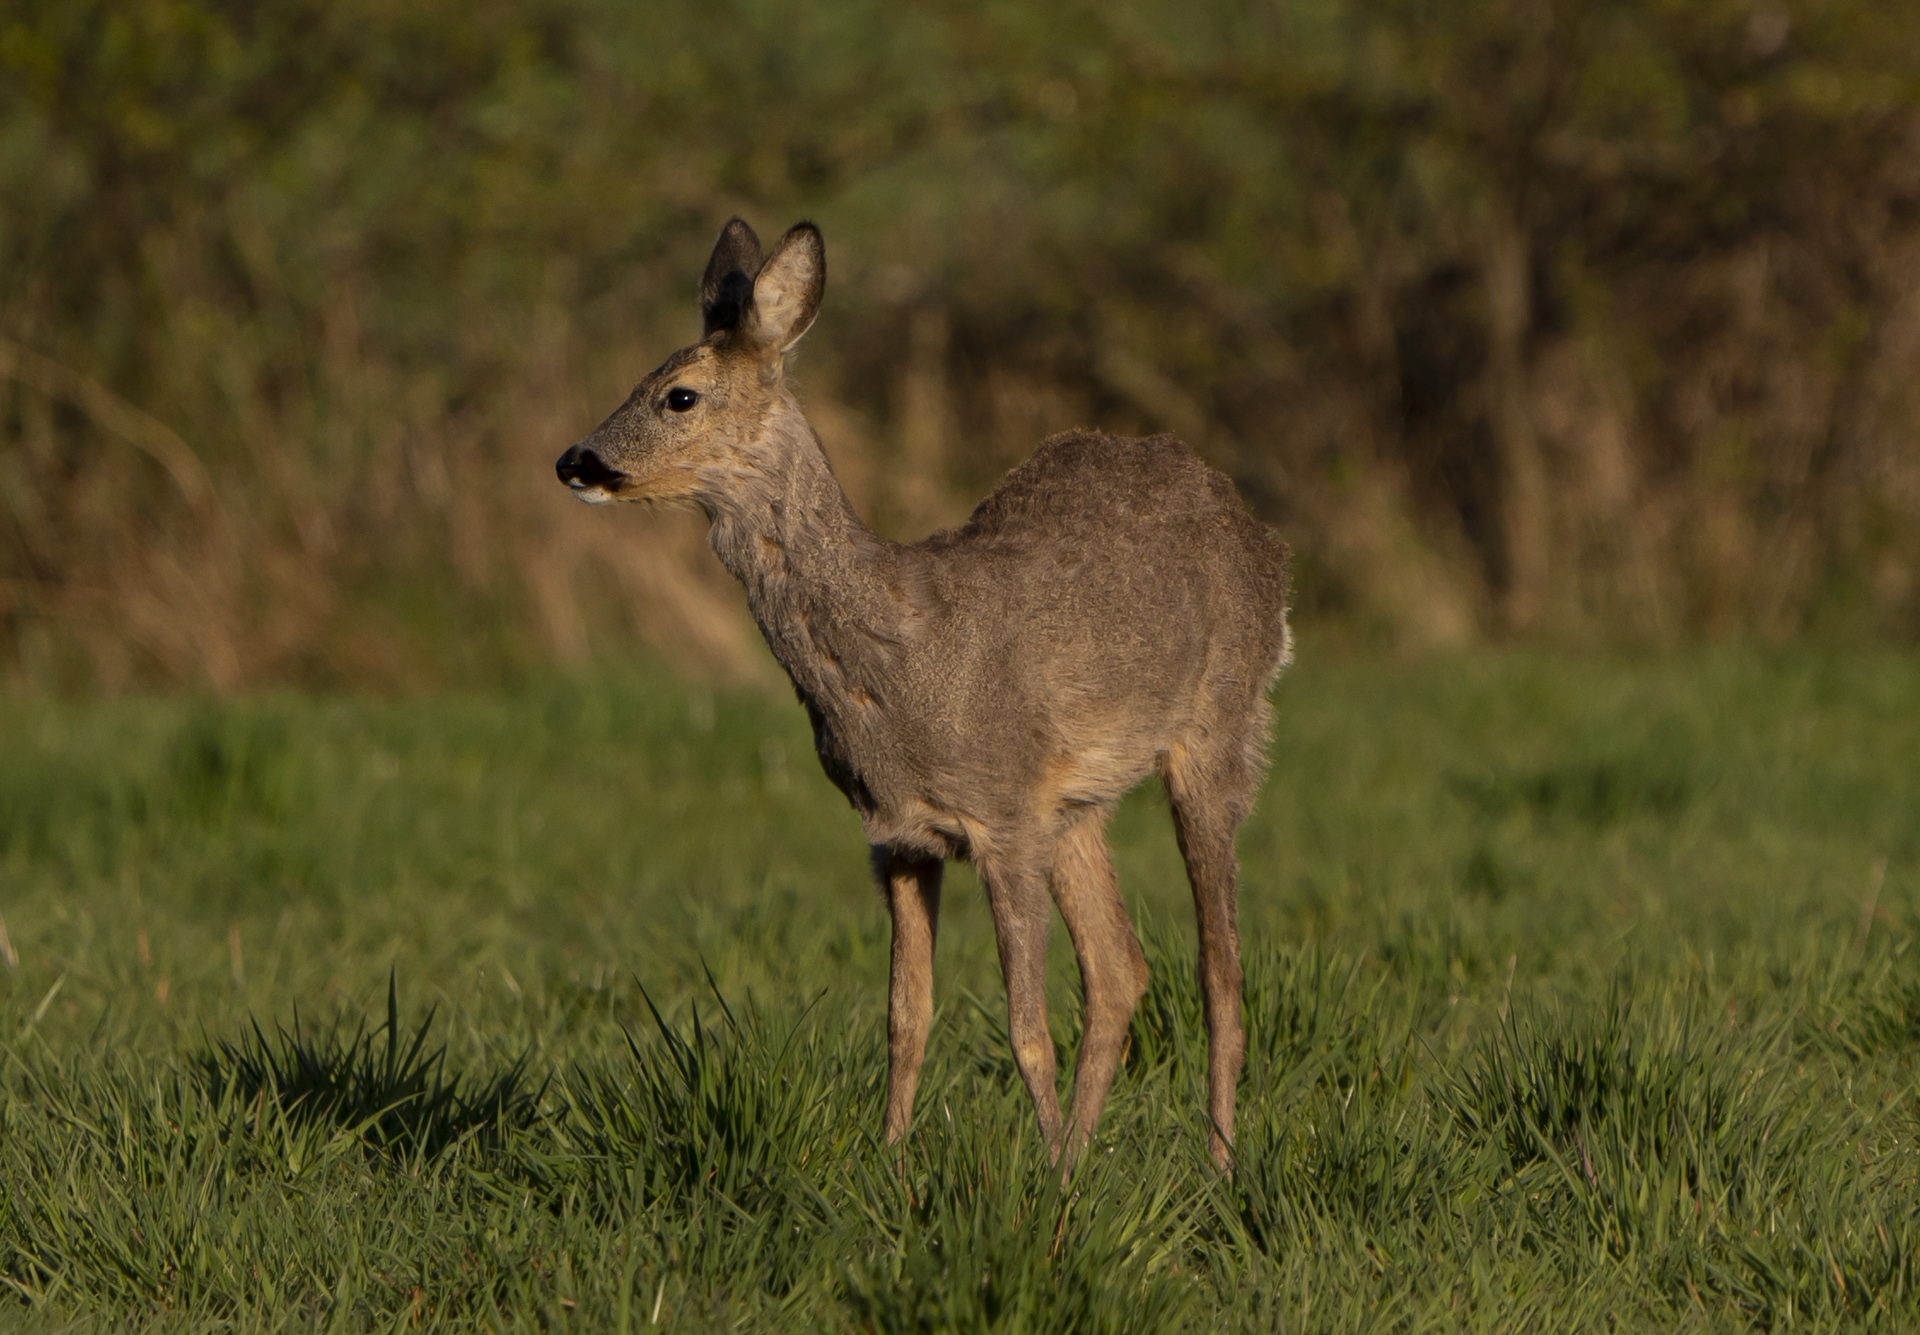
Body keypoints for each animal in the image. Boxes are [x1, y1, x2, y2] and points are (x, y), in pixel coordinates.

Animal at [560, 218, 1297, 1167]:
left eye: (679, 395)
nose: (574, 460)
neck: (895, 668)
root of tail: (1253, 527)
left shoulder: (1004, 816)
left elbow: (1027, 1027)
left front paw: (1041, 1185)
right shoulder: (898, 834)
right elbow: (905, 1017)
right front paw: (894, 1160)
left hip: (1220, 723)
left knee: (1219, 968)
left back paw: (1217, 1163)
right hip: (1080, 803)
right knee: (1122, 969)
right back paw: (1086, 1155)